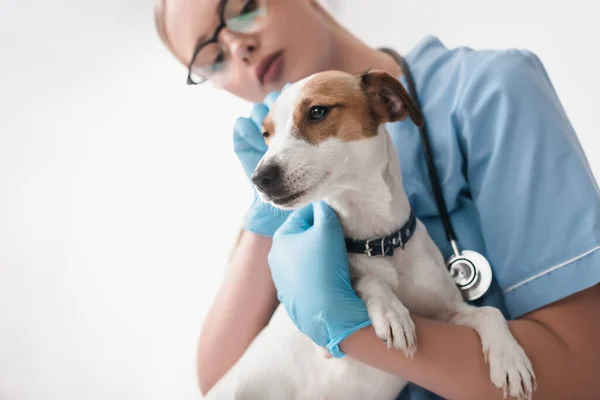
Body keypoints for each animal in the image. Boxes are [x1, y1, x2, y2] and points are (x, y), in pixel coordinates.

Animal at [205, 70, 536, 400]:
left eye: (317, 112)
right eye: (267, 134)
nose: (259, 179)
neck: (379, 242)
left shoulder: (449, 312)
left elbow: (489, 311)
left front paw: (510, 357)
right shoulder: (324, 334)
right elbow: (365, 280)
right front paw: (391, 312)